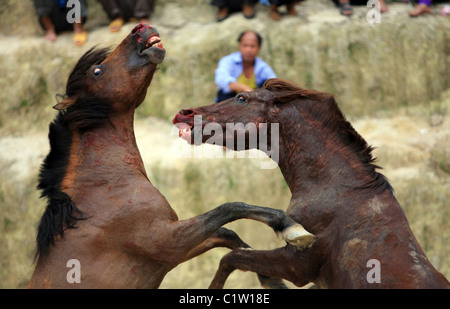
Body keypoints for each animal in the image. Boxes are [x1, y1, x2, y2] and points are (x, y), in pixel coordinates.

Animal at [25, 27, 312, 288]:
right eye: (97, 71)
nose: (140, 29)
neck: (102, 189)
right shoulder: (166, 242)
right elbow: (230, 208)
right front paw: (292, 229)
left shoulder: (172, 251)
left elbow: (229, 235)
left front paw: (272, 278)